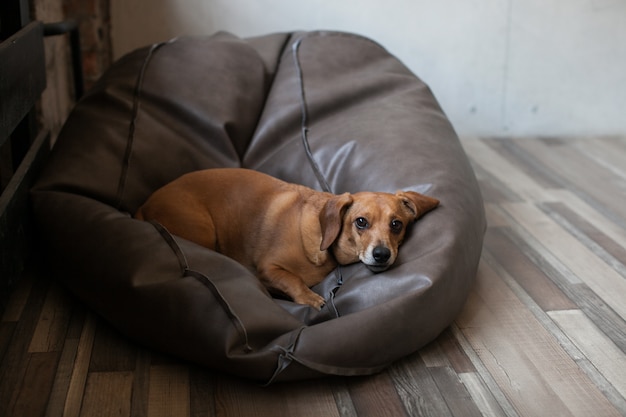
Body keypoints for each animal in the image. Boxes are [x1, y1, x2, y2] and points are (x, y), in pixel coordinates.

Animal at [135, 167, 438, 308]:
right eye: (360, 222)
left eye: (396, 224)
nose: (382, 255)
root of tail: (144, 206)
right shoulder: (269, 268)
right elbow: (292, 280)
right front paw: (310, 298)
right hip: (204, 232)